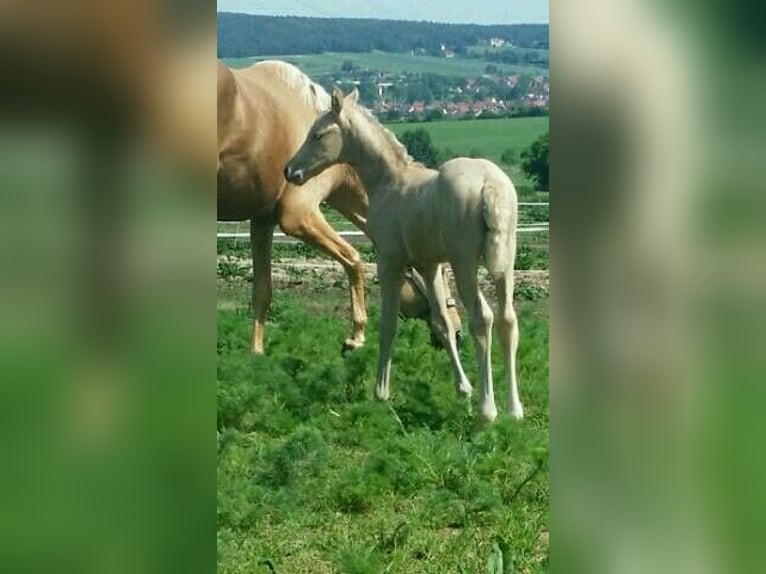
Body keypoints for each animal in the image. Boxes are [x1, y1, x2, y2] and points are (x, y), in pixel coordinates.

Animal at [217, 60, 461, 354]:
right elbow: (354, 260)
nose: (457, 332)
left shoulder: (263, 221)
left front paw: (256, 352)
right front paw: (356, 336)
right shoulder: (298, 216)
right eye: (444, 270)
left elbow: (262, 292)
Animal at [285, 87, 523, 422]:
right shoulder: (429, 266)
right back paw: (514, 410)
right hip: (505, 265)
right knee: (507, 319)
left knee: (483, 318)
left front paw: (380, 392)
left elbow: (388, 324)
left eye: (317, 134)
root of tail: (490, 185)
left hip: (465, 264)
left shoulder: (390, 262)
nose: (290, 171)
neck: (389, 181)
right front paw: (462, 389)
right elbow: (443, 322)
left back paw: (487, 412)